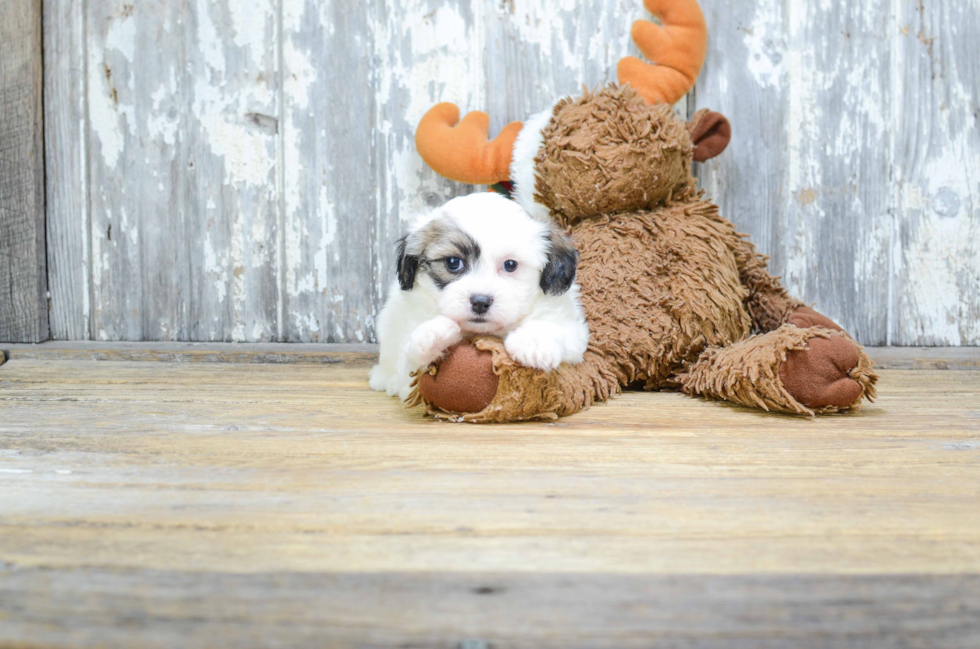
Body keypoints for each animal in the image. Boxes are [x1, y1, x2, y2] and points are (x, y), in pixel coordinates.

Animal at [370, 191, 588, 400]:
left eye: (510, 265)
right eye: (453, 263)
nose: (480, 302)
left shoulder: (573, 336)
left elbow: (557, 330)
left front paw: (533, 342)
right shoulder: (405, 374)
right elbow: (411, 368)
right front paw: (431, 334)